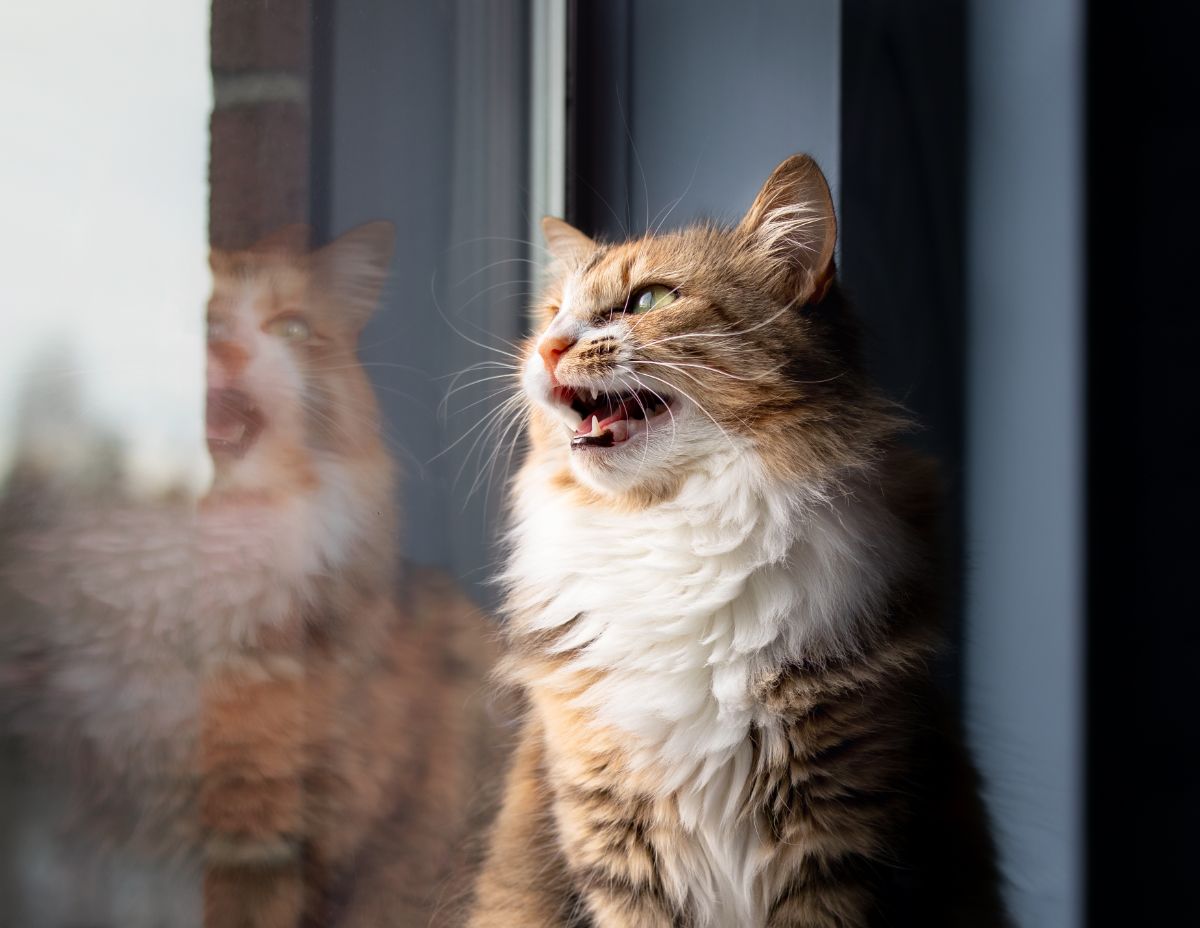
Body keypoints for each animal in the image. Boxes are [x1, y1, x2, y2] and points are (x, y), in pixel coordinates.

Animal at [463, 156, 1008, 921]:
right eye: (550, 315)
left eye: (650, 300)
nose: (547, 347)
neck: (672, 530)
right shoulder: (615, 841)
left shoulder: (836, 834)